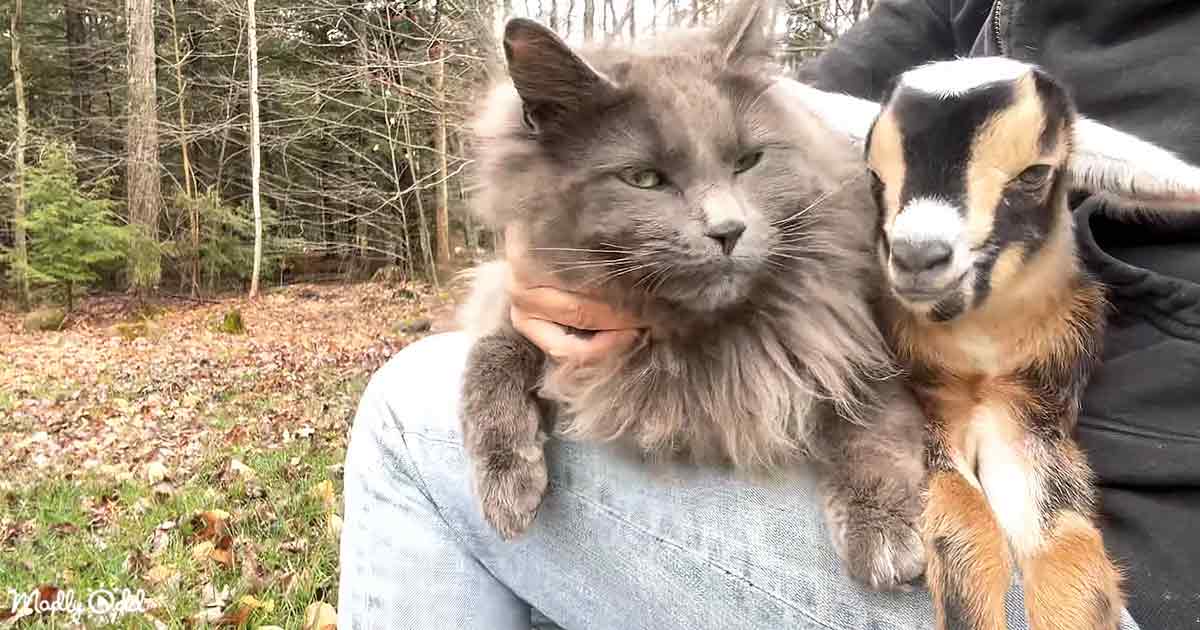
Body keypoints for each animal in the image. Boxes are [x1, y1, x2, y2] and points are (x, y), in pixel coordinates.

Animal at [779, 57, 1200, 630]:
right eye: (874, 176)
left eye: (1034, 174)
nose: (918, 257)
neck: (981, 357)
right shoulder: (932, 415)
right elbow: (967, 523)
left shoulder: (1029, 424)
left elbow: (1068, 553)